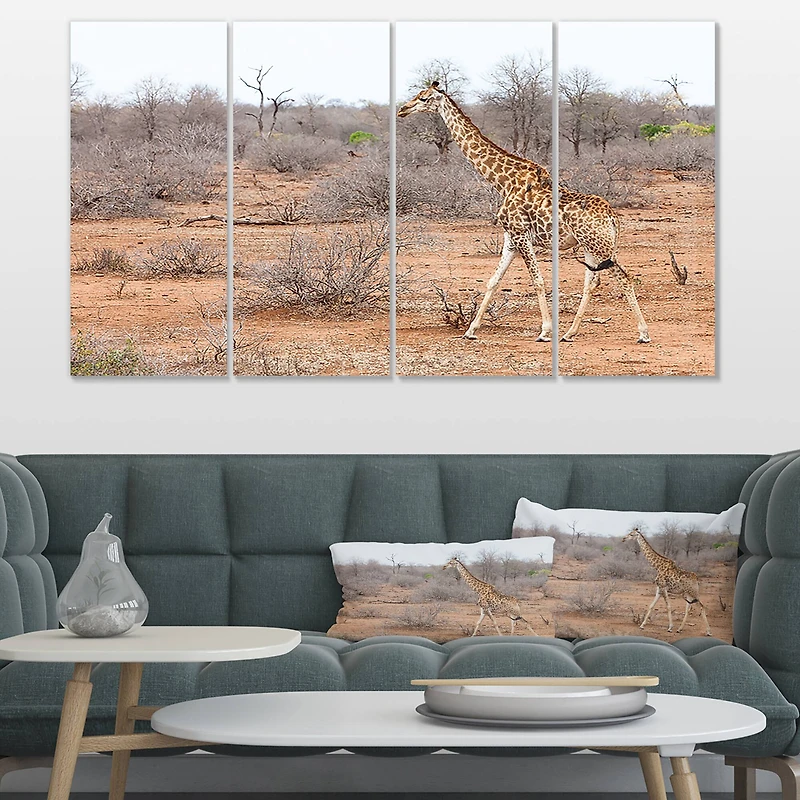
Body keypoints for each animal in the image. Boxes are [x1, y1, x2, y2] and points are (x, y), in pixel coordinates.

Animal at [397, 82, 650, 344]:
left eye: (423, 98)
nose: (402, 110)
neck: (503, 182)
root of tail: (612, 217)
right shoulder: (510, 239)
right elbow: (493, 281)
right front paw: (471, 330)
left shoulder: (521, 235)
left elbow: (537, 281)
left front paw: (545, 331)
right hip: (591, 246)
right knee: (592, 282)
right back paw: (570, 332)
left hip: (600, 246)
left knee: (624, 278)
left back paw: (642, 333)